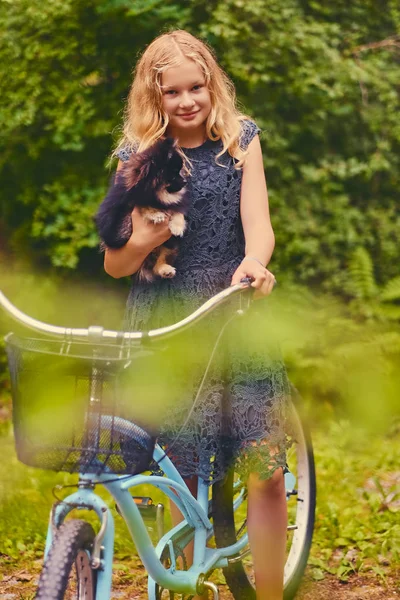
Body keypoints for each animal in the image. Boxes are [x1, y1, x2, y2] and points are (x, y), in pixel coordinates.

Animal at [97, 137, 191, 282]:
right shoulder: (126, 207)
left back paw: (165, 269)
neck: (157, 196)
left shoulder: (175, 205)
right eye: (174, 173)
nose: (185, 181)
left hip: (168, 245)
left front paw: (177, 226)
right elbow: (142, 206)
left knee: (160, 260)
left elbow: (178, 213)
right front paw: (155, 214)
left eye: (179, 171)